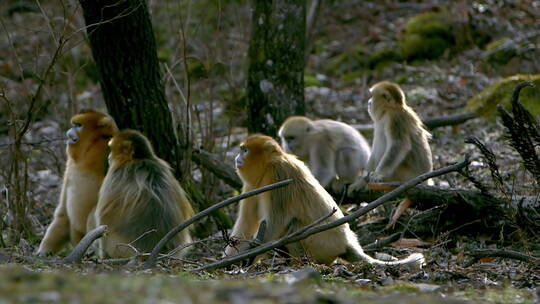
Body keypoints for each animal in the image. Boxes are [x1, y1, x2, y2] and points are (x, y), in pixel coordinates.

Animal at [37, 108, 118, 255]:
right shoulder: (70, 165)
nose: (69, 132)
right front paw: (44, 251)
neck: (90, 150)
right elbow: (62, 211)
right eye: (74, 124)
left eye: (79, 125)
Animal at [226, 135, 424, 266]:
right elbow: (246, 223)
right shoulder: (252, 186)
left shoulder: (278, 175)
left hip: (323, 245)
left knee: (295, 226)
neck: (268, 166)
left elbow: (276, 221)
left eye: (245, 150)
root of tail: (346, 242)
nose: (237, 157)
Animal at [364, 81, 432, 228]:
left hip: (405, 175)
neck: (391, 108)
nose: (369, 102)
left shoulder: (394, 119)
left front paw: (377, 175)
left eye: (372, 96)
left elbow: (399, 145)